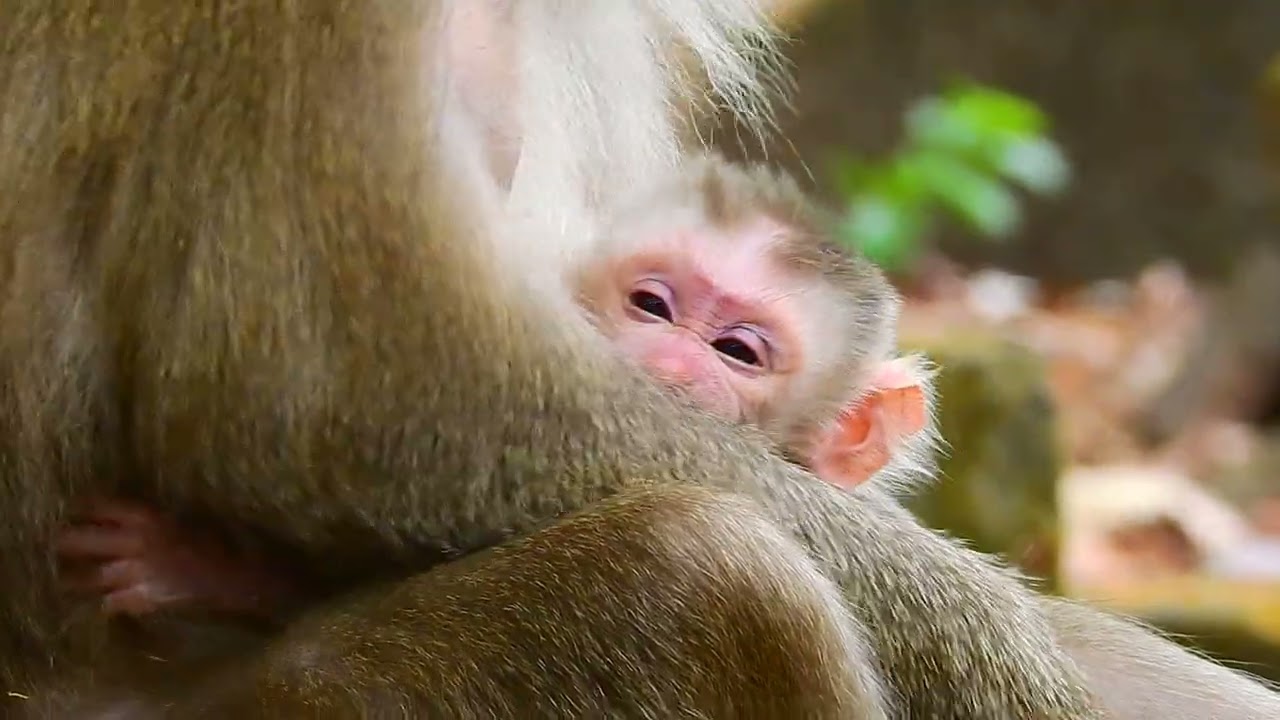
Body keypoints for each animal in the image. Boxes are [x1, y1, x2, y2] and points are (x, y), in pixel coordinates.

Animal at [4, 0, 1280, 718]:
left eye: (738, 348)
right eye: (650, 304)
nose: (670, 366)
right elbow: (325, 401)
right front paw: (1000, 658)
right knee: (713, 574)